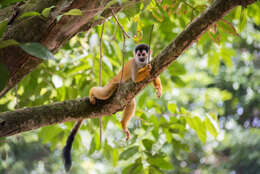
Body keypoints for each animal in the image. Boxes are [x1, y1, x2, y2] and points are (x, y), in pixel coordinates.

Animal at [62, 43, 161, 171]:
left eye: (143, 54)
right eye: (138, 55)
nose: (141, 58)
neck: (141, 63)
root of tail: (114, 79)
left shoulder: (151, 60)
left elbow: (154, 75)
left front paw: (158, 88)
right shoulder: (134, 64)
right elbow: (135, 78)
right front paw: (146, 69)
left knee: (131, 102)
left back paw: (123, 124)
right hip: (113, 84)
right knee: (106, 92)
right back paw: (92, 92)